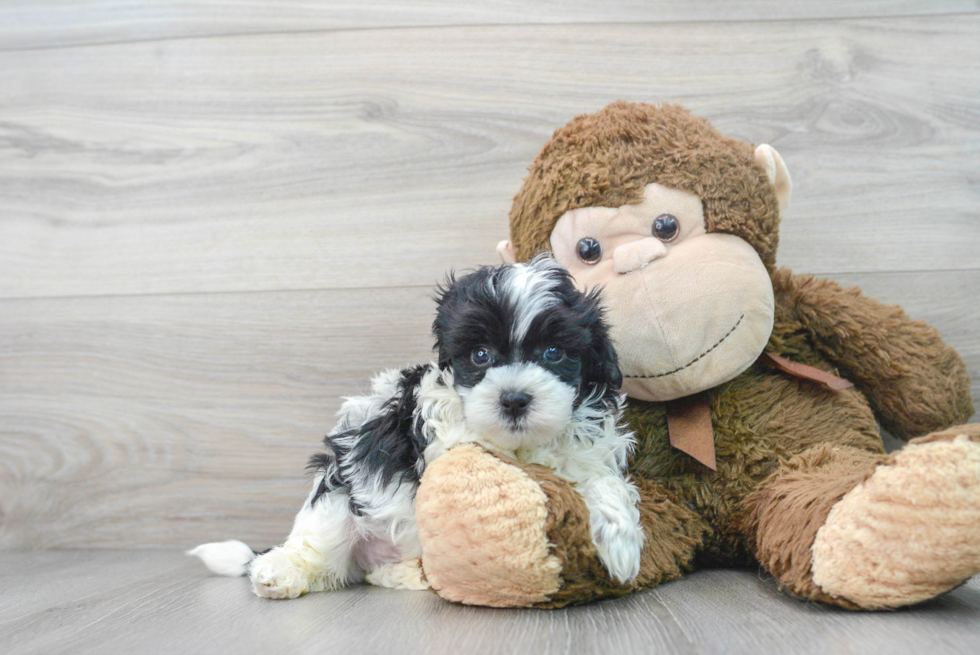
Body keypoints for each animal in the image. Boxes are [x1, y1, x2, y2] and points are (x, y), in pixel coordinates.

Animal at [192, 256, 648, 600]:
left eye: (554, 352)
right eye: (480, 355)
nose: (515, 400)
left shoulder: (586, 447)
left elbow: (598, 477)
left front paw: (620, 541)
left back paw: (408, 574)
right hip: (337, 494)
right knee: (315, 546)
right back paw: (279, 572)